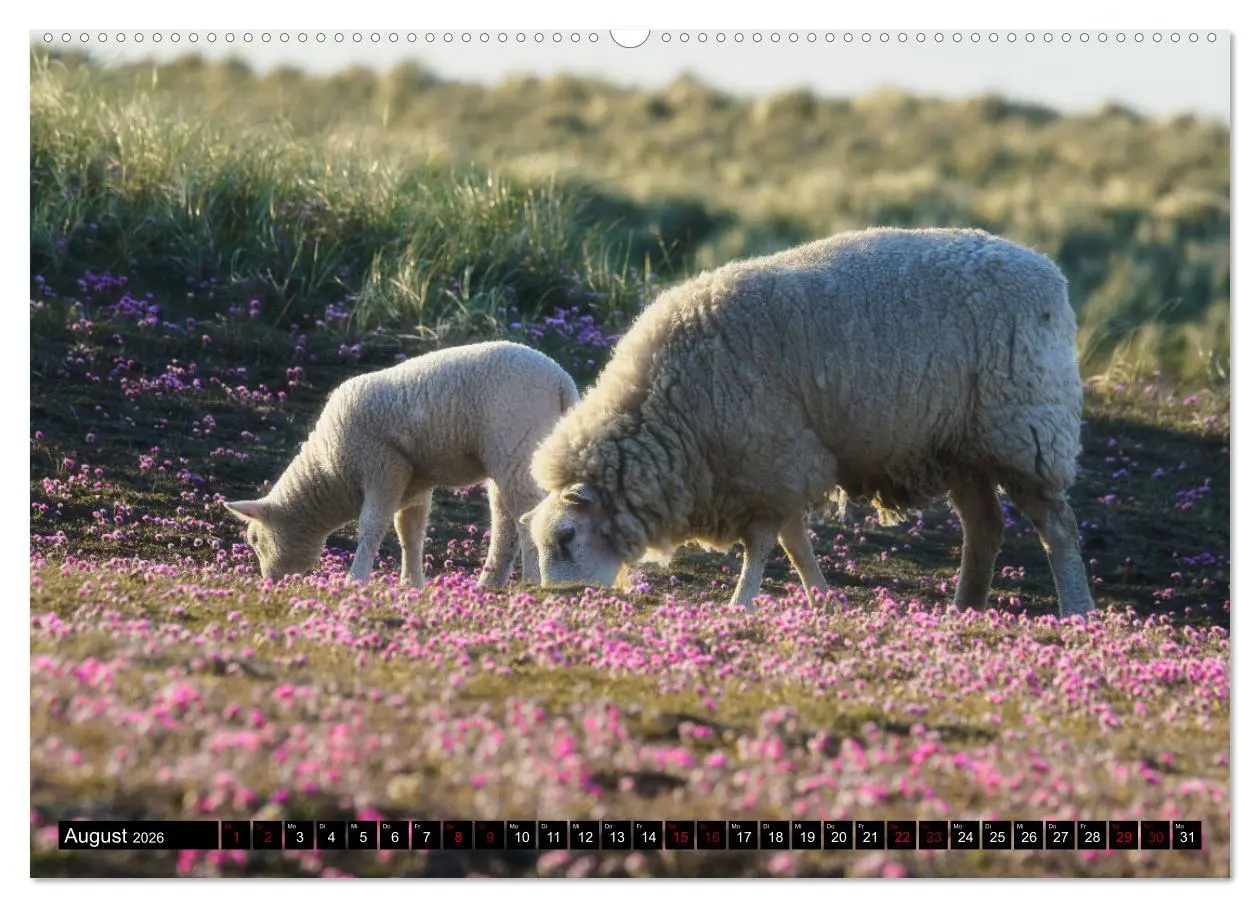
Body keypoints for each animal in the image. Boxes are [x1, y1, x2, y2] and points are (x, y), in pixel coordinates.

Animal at [225, 340, 579, 588]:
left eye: (254, 540)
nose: (271, 584)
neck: (329, 470)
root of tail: (561, 380)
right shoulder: (414, 480)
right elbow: (410, 531)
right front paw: (411, 584)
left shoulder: (382, 464)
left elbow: (372, 525)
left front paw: (355, 580)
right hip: (513, 456)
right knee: (505, 521)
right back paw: (489, 585)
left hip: (517, 441)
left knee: (525, 515)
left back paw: (532, 581)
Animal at [522, 227, 1097, 619]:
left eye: (567, 537)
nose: (560, 599)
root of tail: (1049, 273)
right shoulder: (775, 468)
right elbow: (794, 543)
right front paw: (822, 598)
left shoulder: (774, 460)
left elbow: (763, 545)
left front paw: (741, 602)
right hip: (962, 447)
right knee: (985, 527)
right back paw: (965, 607)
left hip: (1026, 428)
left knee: (1058, 526)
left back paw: (1077, 609)